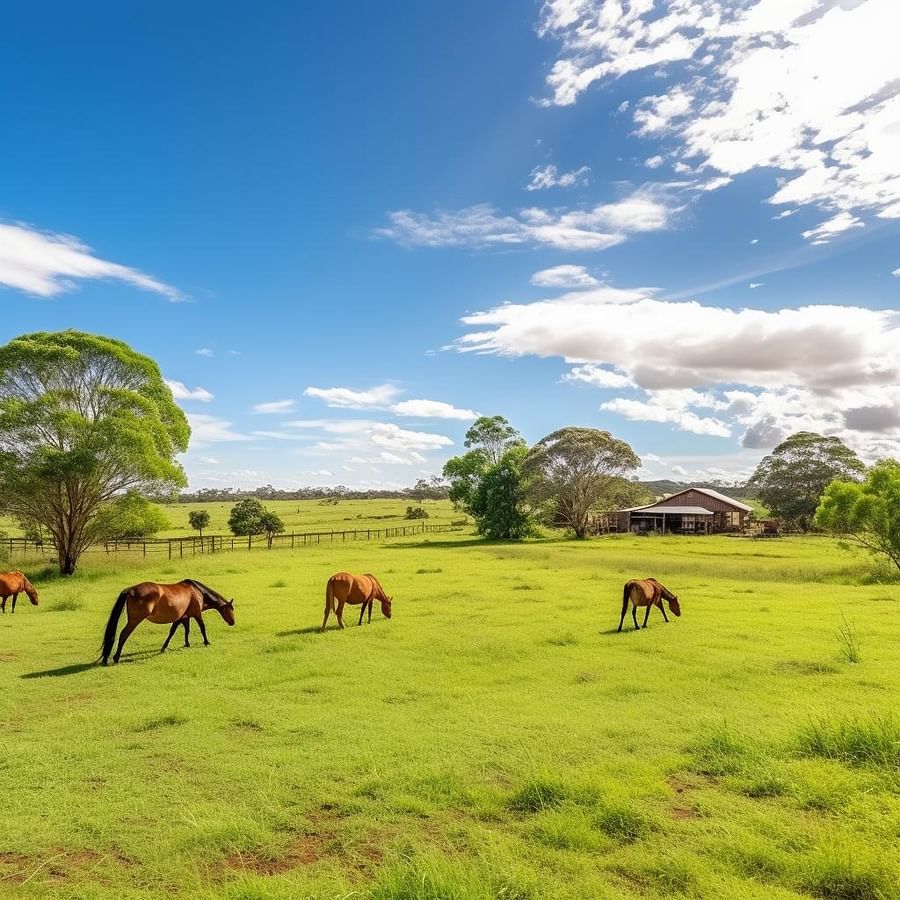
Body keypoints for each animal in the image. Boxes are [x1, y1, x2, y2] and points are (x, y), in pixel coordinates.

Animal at [100, 579, 235, 665]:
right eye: (230, 609)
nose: (233, 622)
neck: (196, 592)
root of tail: (131, 590)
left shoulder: (183, 617)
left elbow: (183, 630)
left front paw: (185, 644)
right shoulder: (196, 614)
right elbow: (201, 627)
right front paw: (207, 642)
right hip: (134, 620)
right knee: (123, 634)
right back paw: (116, 657)